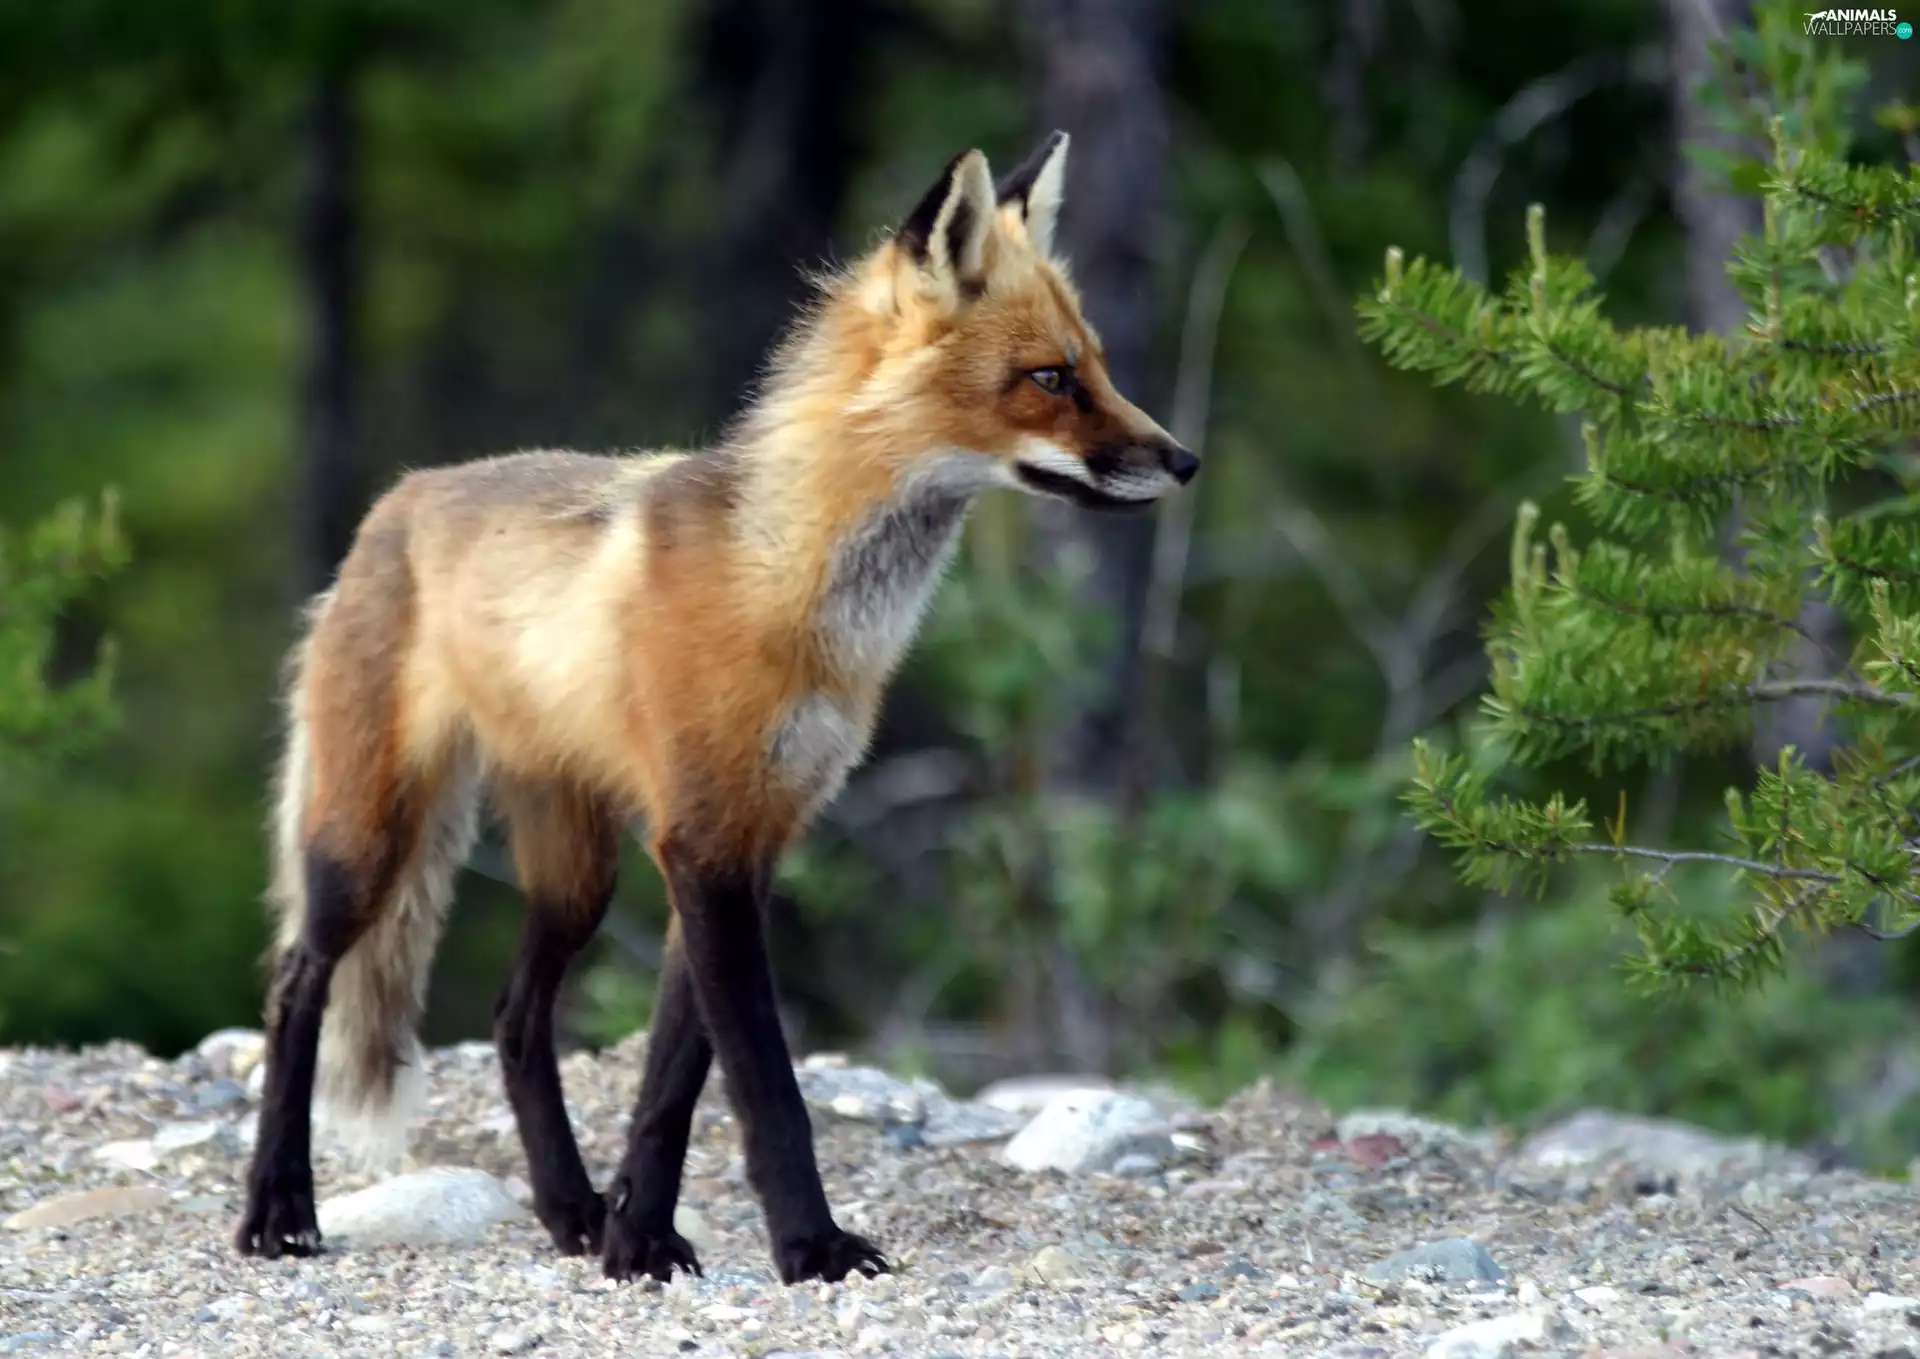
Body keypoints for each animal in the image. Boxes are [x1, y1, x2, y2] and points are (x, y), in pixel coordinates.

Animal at [234, 130, 1198, 1285]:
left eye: (1097, 366)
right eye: (1050, 379)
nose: (1186, 460)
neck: (796, 596)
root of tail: (392, 501)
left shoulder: (754, 832)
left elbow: (674, 1081)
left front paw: (636, 1237)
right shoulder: (701, 839)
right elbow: (766, 1086)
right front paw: (812, 1247)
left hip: (576, 872)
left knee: (516, 1019)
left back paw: (569, 1212)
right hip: (368, 836)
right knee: (296, 983)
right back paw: (277, 1206)